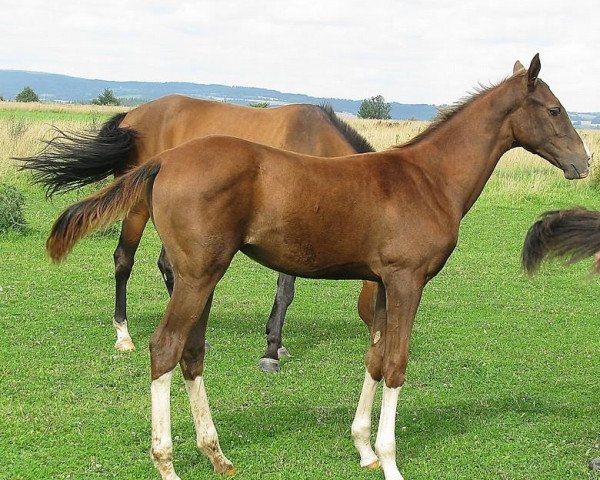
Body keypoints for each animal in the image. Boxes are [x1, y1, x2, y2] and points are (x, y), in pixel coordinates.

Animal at [18, 95, 372, 370]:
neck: (316, 146)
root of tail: (131, 117)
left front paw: (276, 342)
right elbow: (286, 289)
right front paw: (272, 349)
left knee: (169, 266)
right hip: (137, 208)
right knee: (123, 261)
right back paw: (123, 335)